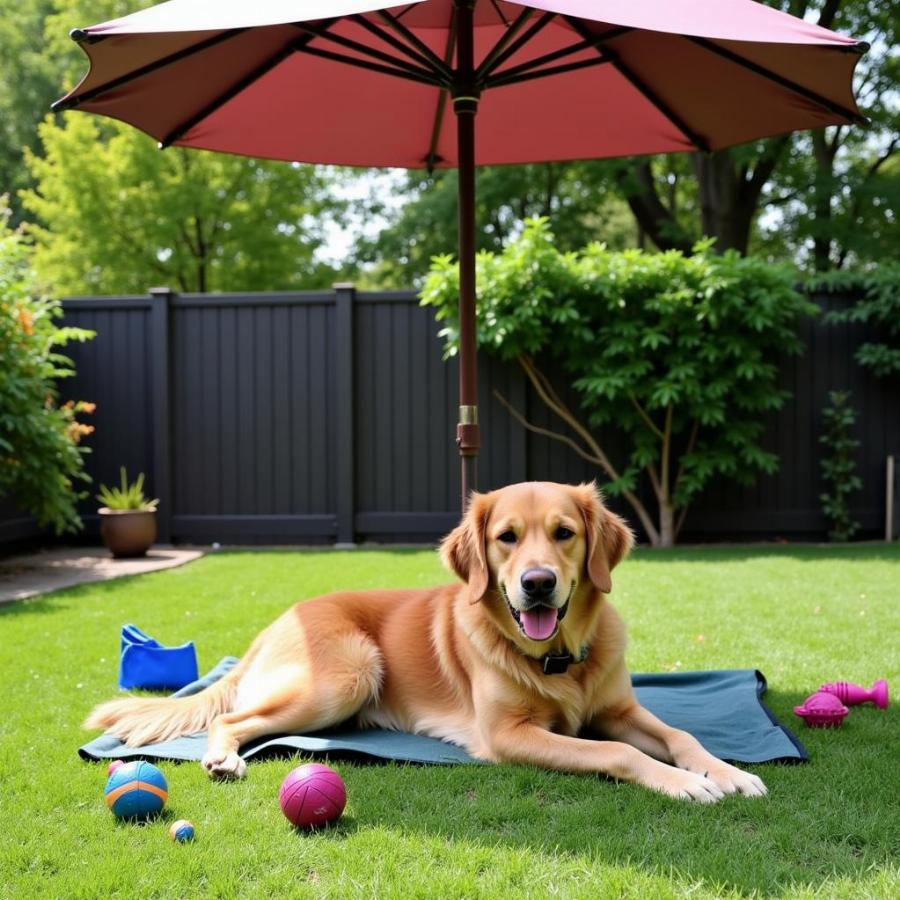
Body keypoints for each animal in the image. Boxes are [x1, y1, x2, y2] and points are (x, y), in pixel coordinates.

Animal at [88, 486, 768, 800]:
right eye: (506, 537)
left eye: (564, 533)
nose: (538, 584)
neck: (557, 660)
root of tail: (278, 621)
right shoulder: (509, 736)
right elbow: (618, 754)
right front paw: (685, 784)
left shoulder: (620, 709)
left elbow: (682, 736)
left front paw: (727, 771)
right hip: (349, 672)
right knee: (230, 718)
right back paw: (223, 758)